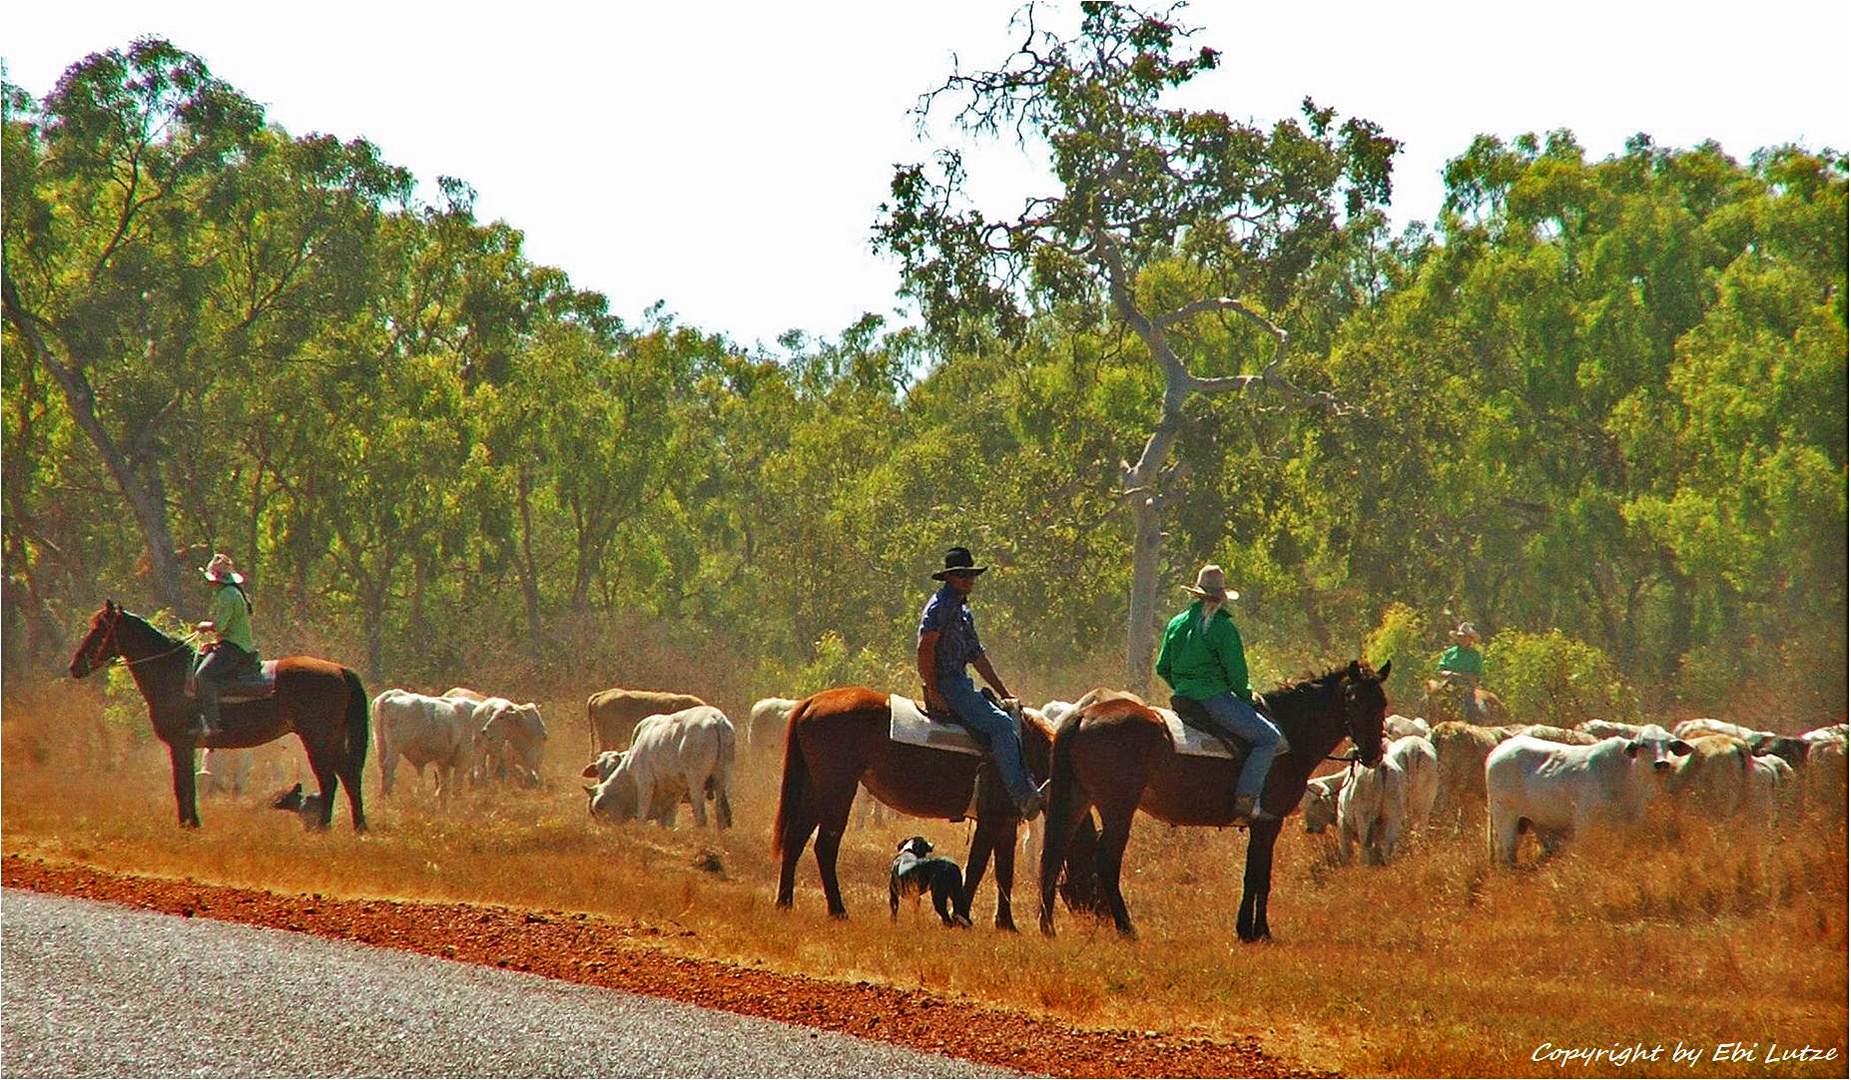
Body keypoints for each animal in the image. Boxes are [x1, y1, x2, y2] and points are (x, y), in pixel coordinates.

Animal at [67, 603, 368, 833]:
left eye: (99, 628)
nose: (75, 666)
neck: (172, 674)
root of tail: (340, 670)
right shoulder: (186, 746)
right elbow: (187, 784)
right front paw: (191, 823)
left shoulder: (181, 744)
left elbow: (182, 785)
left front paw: (187, 825)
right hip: (331, 738)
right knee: (349, 775)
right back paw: (358, 827)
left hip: (316, 738)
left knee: (330, 779)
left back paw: (324, 826)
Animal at [770, 689, 1095, 933]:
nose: (1095, 920)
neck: (1023, 750)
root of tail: (812, 702)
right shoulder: (990, 820)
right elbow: (976, 868)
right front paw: (962, 915)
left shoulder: (1005, 823)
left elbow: (1004, 872)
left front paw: (1006, 924)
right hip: (837, 790)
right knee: (825, 846)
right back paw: (837, 910)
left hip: (815, 790)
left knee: (795, 840)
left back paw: (784, 903)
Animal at [1043, 655, 1391, 941]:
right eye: (1353, 701)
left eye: (1382, 703)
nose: (1372, 753)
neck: (1289, 735)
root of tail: (1082, 716)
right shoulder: (1269, 822)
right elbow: (1259, 875)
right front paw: (1257, 931)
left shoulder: (1261, 825)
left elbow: (1254, 873)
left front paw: (1248, 929)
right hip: (1117, 809)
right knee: (1105, 861)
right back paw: (1126, 928)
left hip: (1076, 800)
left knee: (1054, 853)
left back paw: (1048, 927)